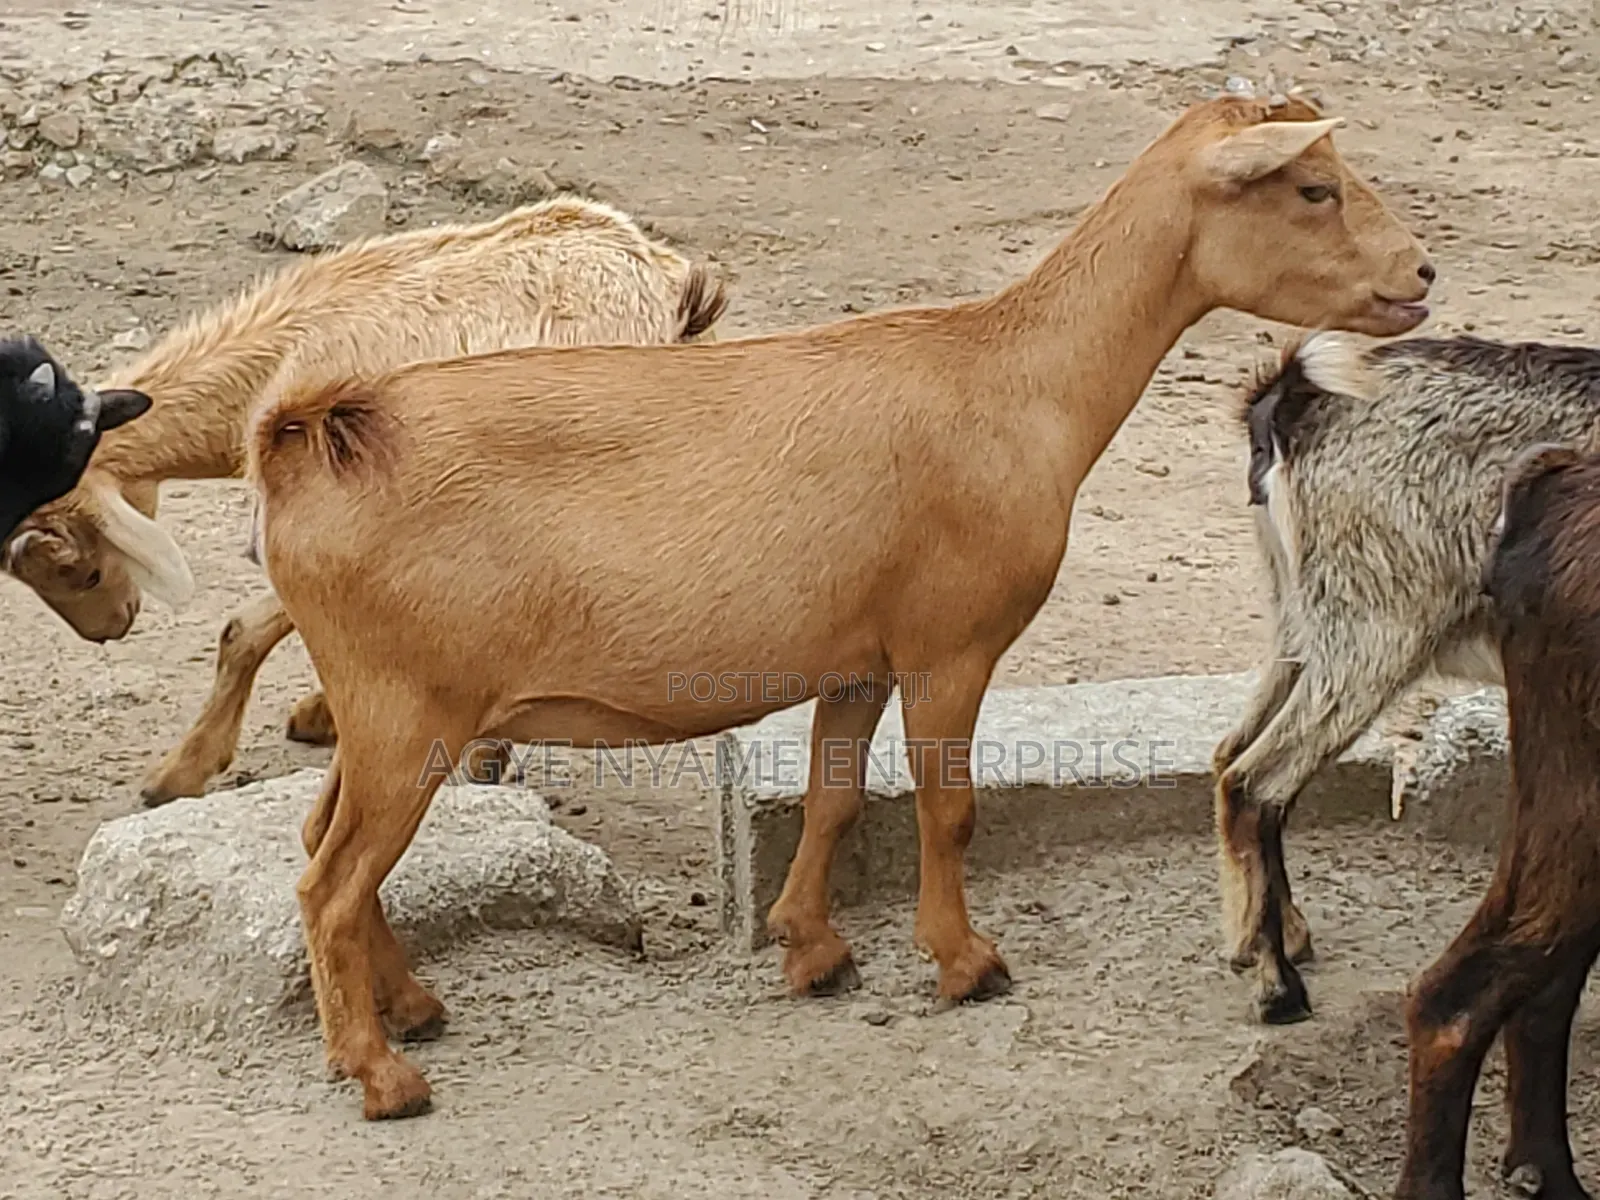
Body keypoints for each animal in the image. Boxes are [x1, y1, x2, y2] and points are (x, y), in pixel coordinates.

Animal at [246, 92, 1433, 1120]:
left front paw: (812, 949)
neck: (1017, 383)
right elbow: (946, 806)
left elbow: (834, 797)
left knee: (319, 840)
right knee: (328, 883)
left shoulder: (859, 657)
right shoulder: (950, 643)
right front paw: (966, 963)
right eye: (1314, 186)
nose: (1421, 272)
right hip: (409, 711)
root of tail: (307, 444)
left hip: (382, 708)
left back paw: (414, 1006)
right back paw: (381, 1074)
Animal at [1214, 333, 1600, 1026]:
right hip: (1377, 631)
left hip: (1300, 621)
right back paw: (1277, 987)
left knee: (1233, 754)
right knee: (1255, 783)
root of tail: (1293, 398)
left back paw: (1272, 936)